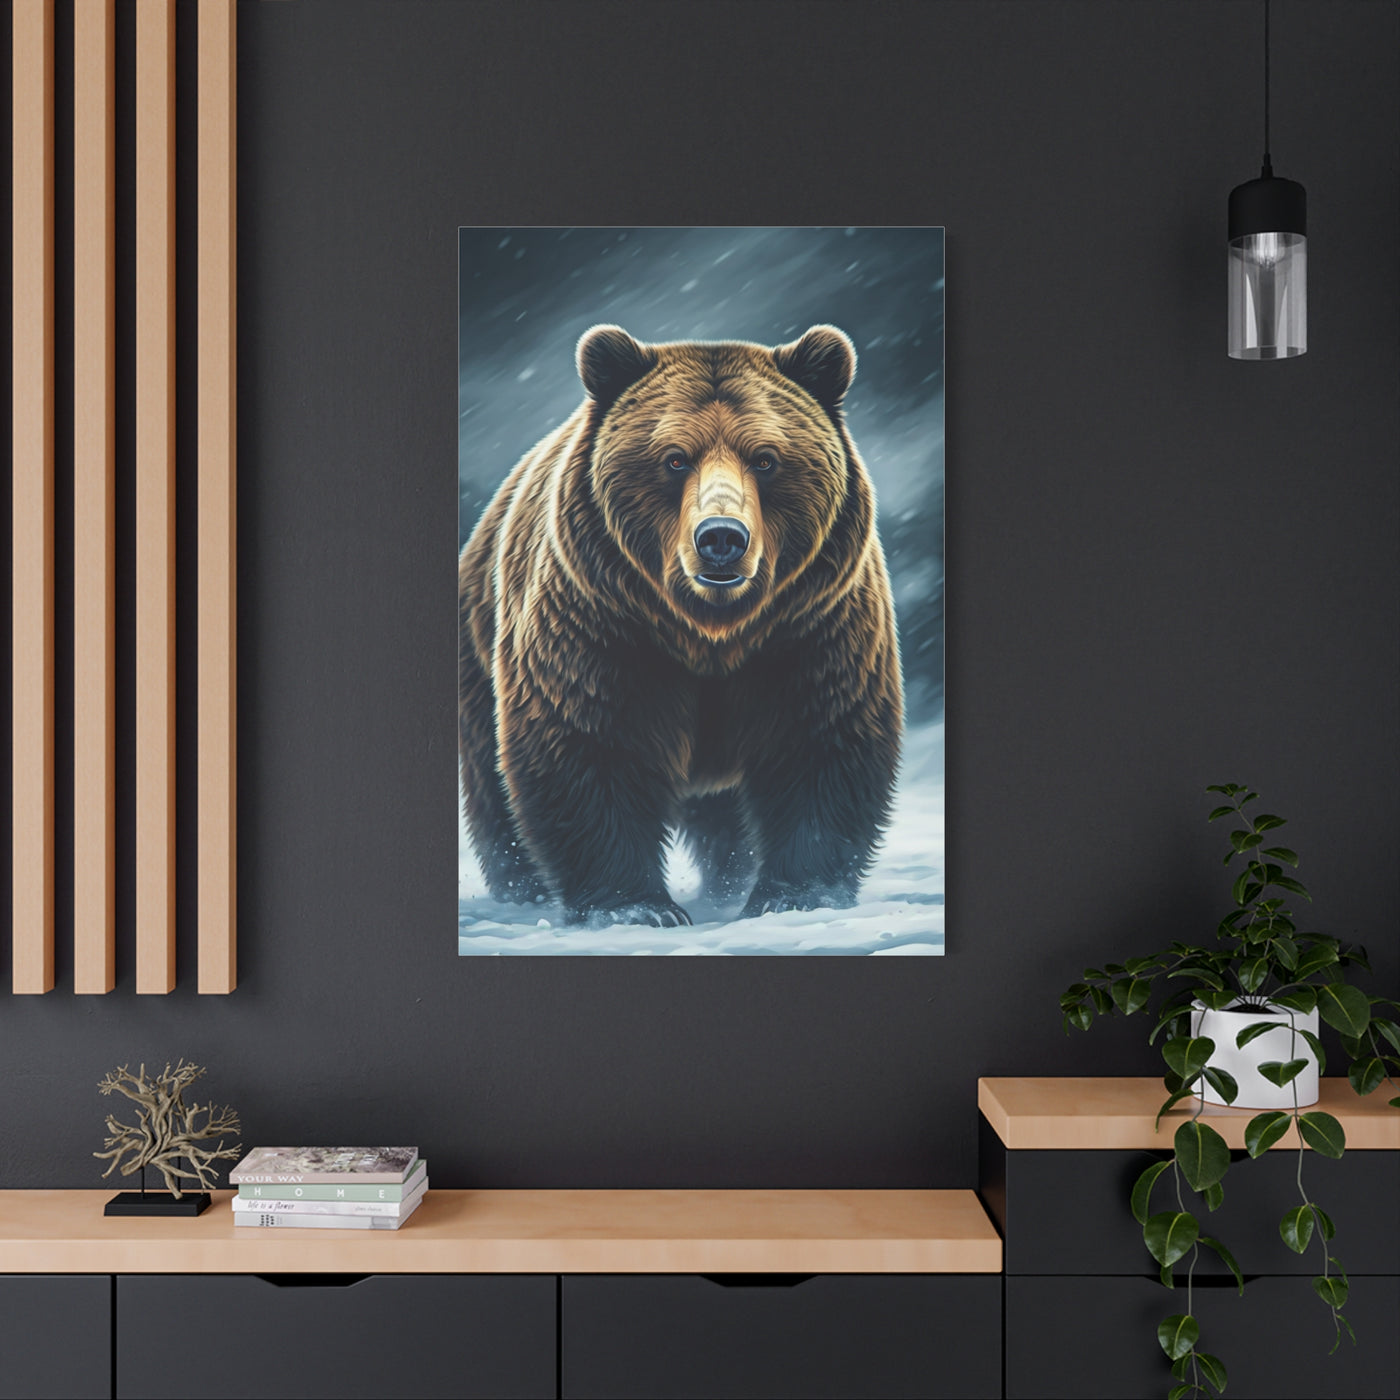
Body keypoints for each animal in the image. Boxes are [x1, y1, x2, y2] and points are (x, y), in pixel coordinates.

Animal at [458, 323, 903, 928]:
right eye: (674, 458)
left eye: (766, 458)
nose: (721, 537)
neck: (708, 631)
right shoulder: (598, 624)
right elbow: (589, 743)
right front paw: (636, 908)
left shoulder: (813, 626)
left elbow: (822, 740)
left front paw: (794, 897)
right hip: (479, 653)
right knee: (493, 788)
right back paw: (523, 892)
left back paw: (727, 884)